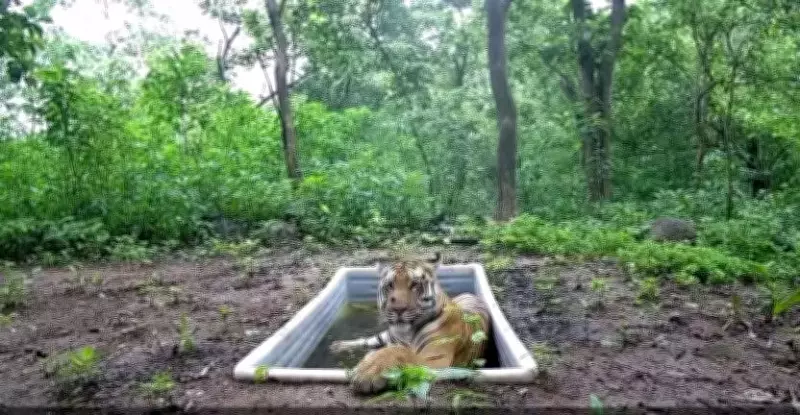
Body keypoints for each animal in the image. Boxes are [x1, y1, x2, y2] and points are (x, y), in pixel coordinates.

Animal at [330, 252, 490, 394]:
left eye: (415, 284)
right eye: (390, 285)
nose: (398, 309)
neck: (406, 333)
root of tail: (470, 294)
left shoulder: (435, 359)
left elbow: (401, 351)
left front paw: (367, 372)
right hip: (385, 336)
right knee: (368, 340)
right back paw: (338, 346)